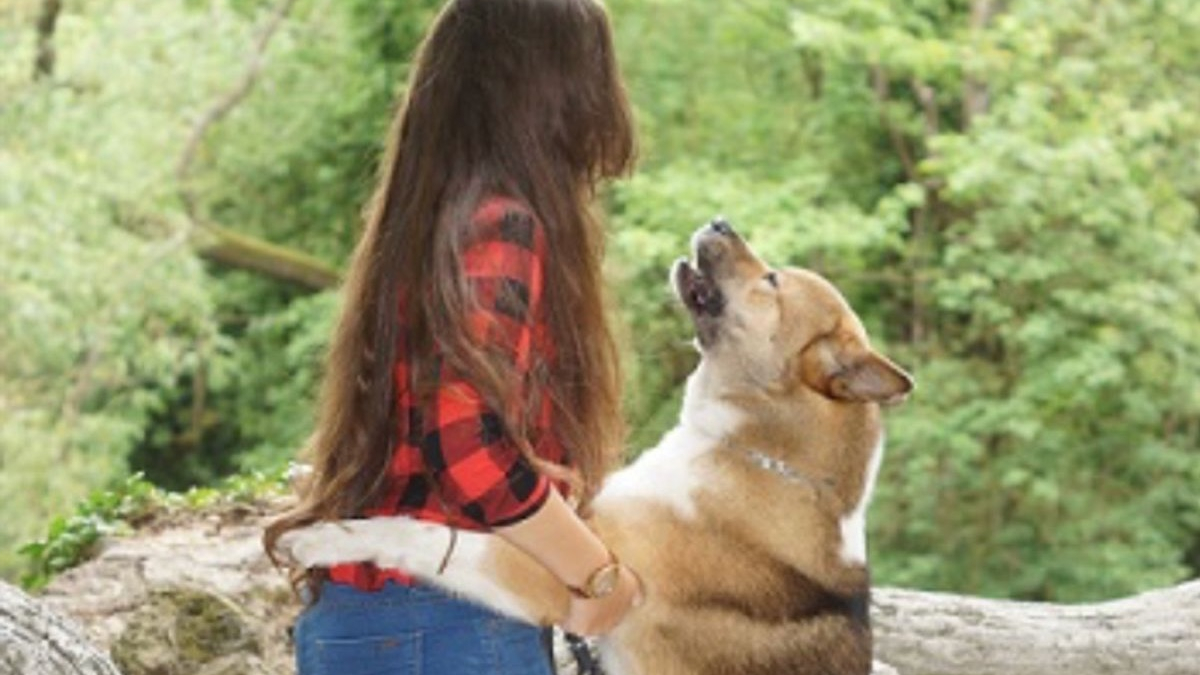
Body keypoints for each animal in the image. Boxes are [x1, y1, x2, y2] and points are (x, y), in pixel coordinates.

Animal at [276, 219, 912, 672]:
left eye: (773, 280)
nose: (719, 221)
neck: (758, 453)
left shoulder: (565, 581)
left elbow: (431, 537)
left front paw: (326, 537)